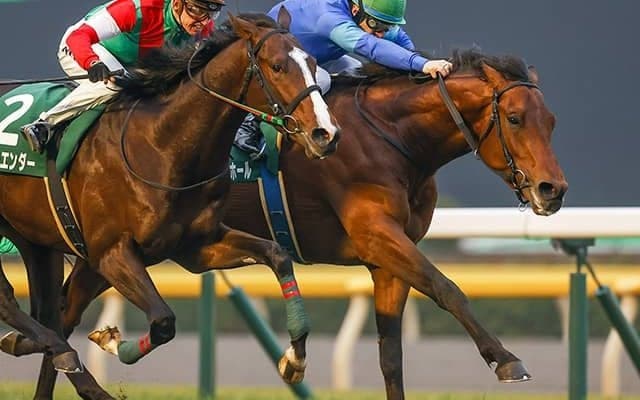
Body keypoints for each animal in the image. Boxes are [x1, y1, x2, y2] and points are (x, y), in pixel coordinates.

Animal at [0, 11, 340, 400]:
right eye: (278, 66)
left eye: (312, 63)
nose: (326, 134)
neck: (164, 144)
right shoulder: (111, 253)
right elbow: (163, 321)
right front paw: (110, 340)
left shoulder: (195, 247)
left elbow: (277, 255)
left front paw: (294, 358)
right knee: (17, 304)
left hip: (37, 242)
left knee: (54, 314)